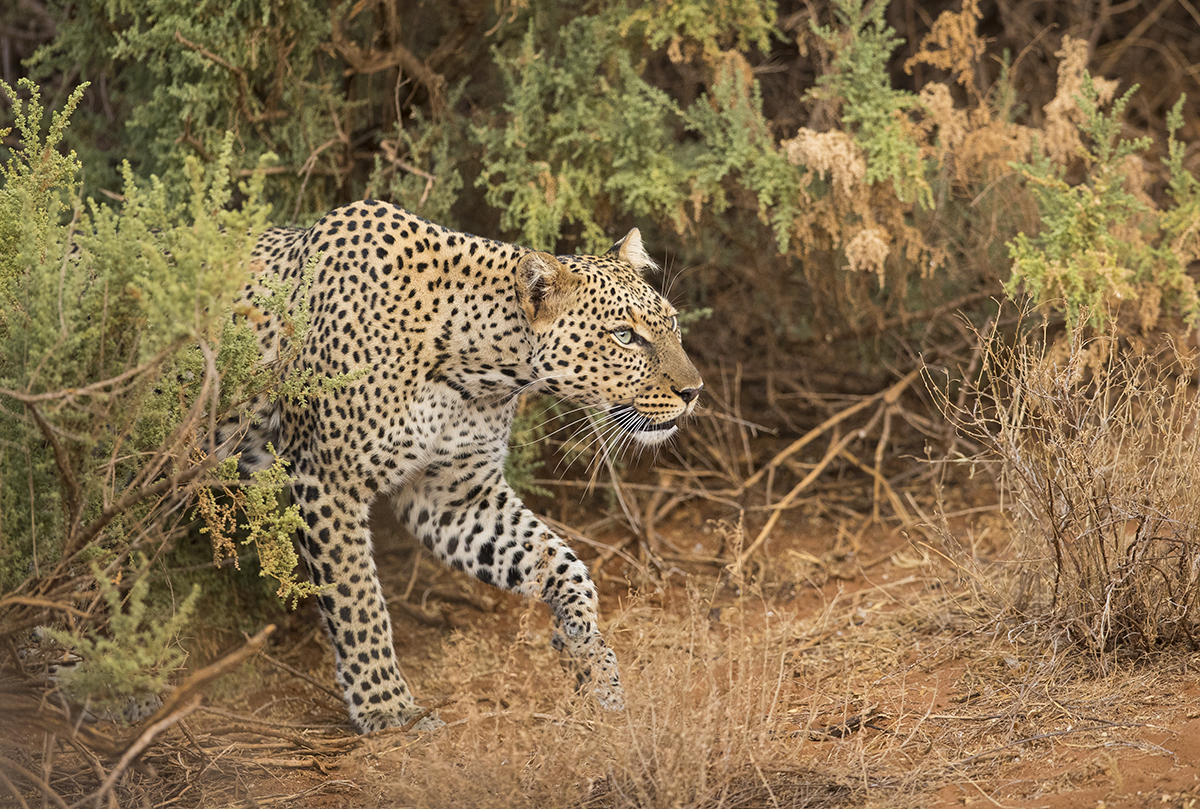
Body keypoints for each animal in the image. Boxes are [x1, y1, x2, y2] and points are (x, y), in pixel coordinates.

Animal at [225, 196, 700, 729]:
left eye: (672, 324)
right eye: (623, 336)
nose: (694, 391)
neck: (475, 370)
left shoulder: (453, 493)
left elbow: (560, 560)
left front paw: (588, 652)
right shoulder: (329, 481)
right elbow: (357, 601)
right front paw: (388, 708)